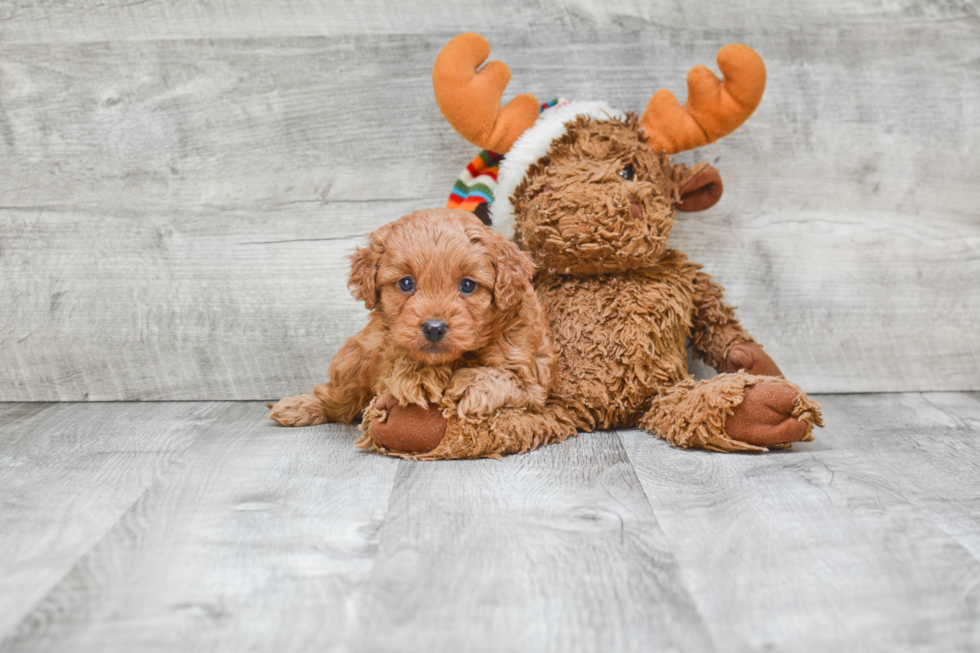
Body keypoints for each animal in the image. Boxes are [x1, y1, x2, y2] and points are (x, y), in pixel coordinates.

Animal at [268, 206, 556, 456]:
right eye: (406, 283)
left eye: (468, 285)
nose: (434, 328)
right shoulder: (386, 350)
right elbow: (400, 362)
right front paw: (418, 376)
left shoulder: (532, 380)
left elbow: (505, 377)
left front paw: (469, 386)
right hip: (356, 361)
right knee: (337, 399)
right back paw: (297, 406)